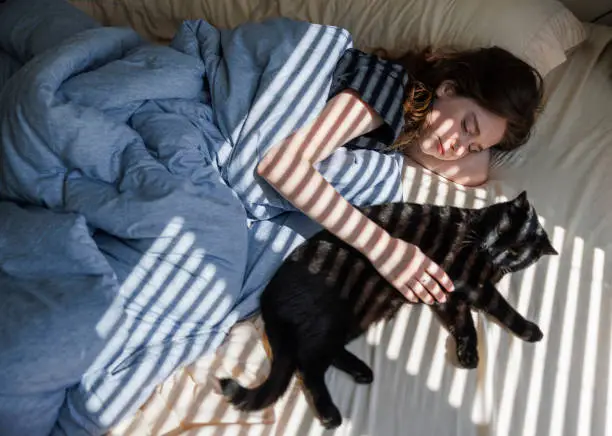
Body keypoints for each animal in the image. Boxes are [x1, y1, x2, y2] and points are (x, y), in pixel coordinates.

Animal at [221, 192, 560, 430]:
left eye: (515, 252)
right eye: (502, 232)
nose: (494, 251)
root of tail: (268, 296)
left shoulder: (447, 294)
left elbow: (464, 323)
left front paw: (467, 354)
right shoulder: (470, 283)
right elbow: (499, 306)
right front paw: (530, 329)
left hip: (354, 316)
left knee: (321, 355)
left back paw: (362, 371)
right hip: (334, 315)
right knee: (309, 364)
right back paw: (331, 414)